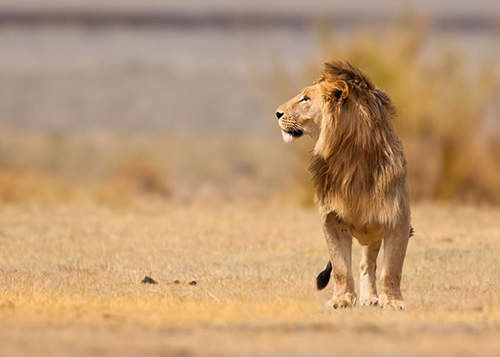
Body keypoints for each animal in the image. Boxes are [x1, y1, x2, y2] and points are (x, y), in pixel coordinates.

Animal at [276, 60, 412, 308]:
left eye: (306, 99)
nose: (277, 113)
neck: (349, 156)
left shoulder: (397, 217)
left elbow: (392, 268)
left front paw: (392, 301)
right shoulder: (331, 218)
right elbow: (340, 266)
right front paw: (341, 299)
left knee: (368, 263)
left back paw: (370, 297)